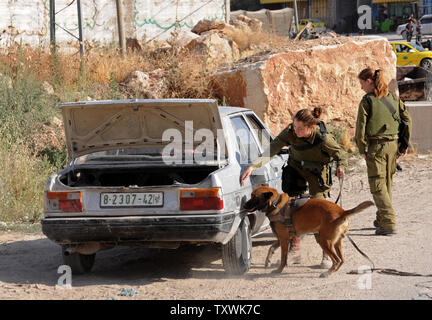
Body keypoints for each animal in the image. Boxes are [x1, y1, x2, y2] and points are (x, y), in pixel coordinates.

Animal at [243, 185, 374, 278]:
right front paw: (268, 261)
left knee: (336, 260)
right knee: (341, 260)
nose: (243, 205)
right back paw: (332, 271)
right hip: (336, 242)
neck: (275, 204)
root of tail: (342, 212)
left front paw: (279, 270)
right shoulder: (282, 238)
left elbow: (283, 258)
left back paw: (327, 273)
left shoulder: (284, 240)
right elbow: (271, 248)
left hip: (324, 241)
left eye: (254, 197)